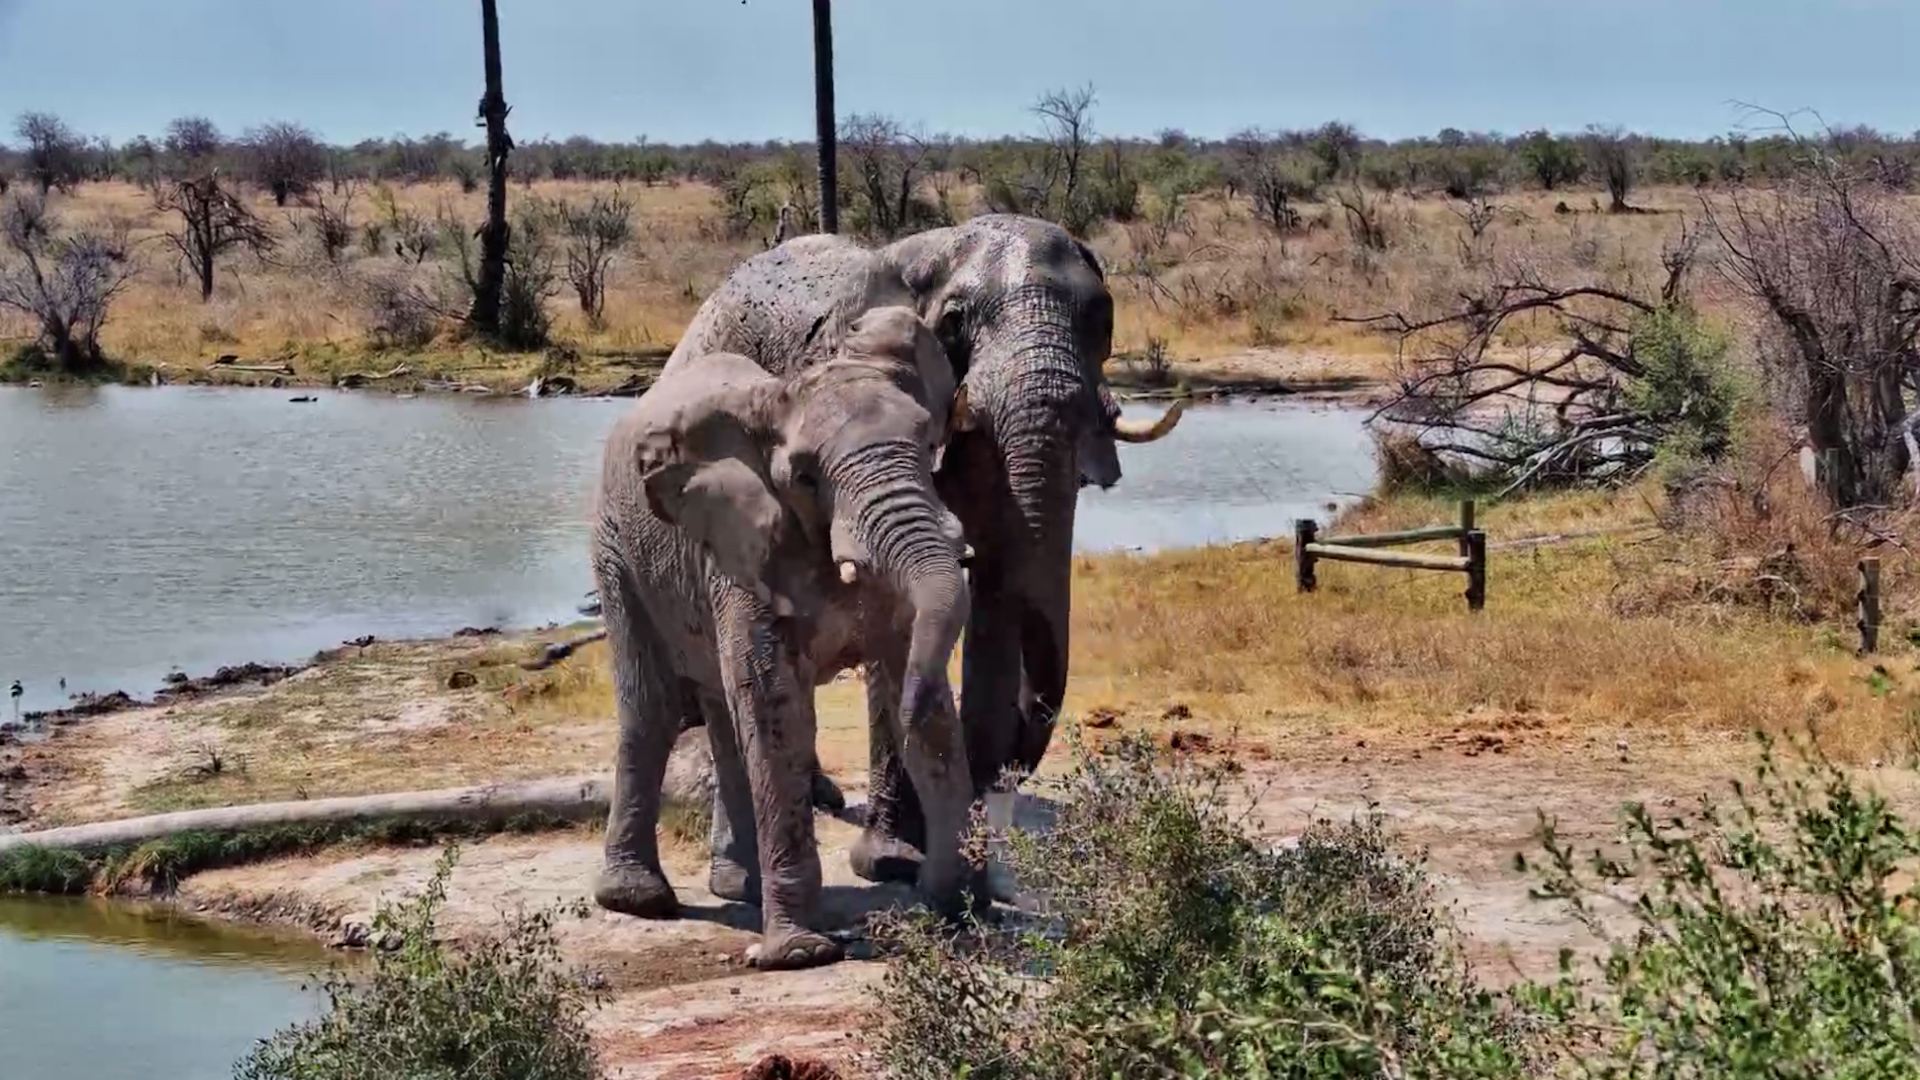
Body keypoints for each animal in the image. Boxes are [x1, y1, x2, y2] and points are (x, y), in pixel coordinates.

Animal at [590, 303, 979, 969]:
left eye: (930, 446)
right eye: (805, 478)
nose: (937, 903)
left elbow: (906, 674)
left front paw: (952, 909)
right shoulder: (739, 546)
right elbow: (776, 706)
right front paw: (799, 955)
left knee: (722, 716)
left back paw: (738, 887)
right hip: (618, 553)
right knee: (652, 709)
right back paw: (639, 900)